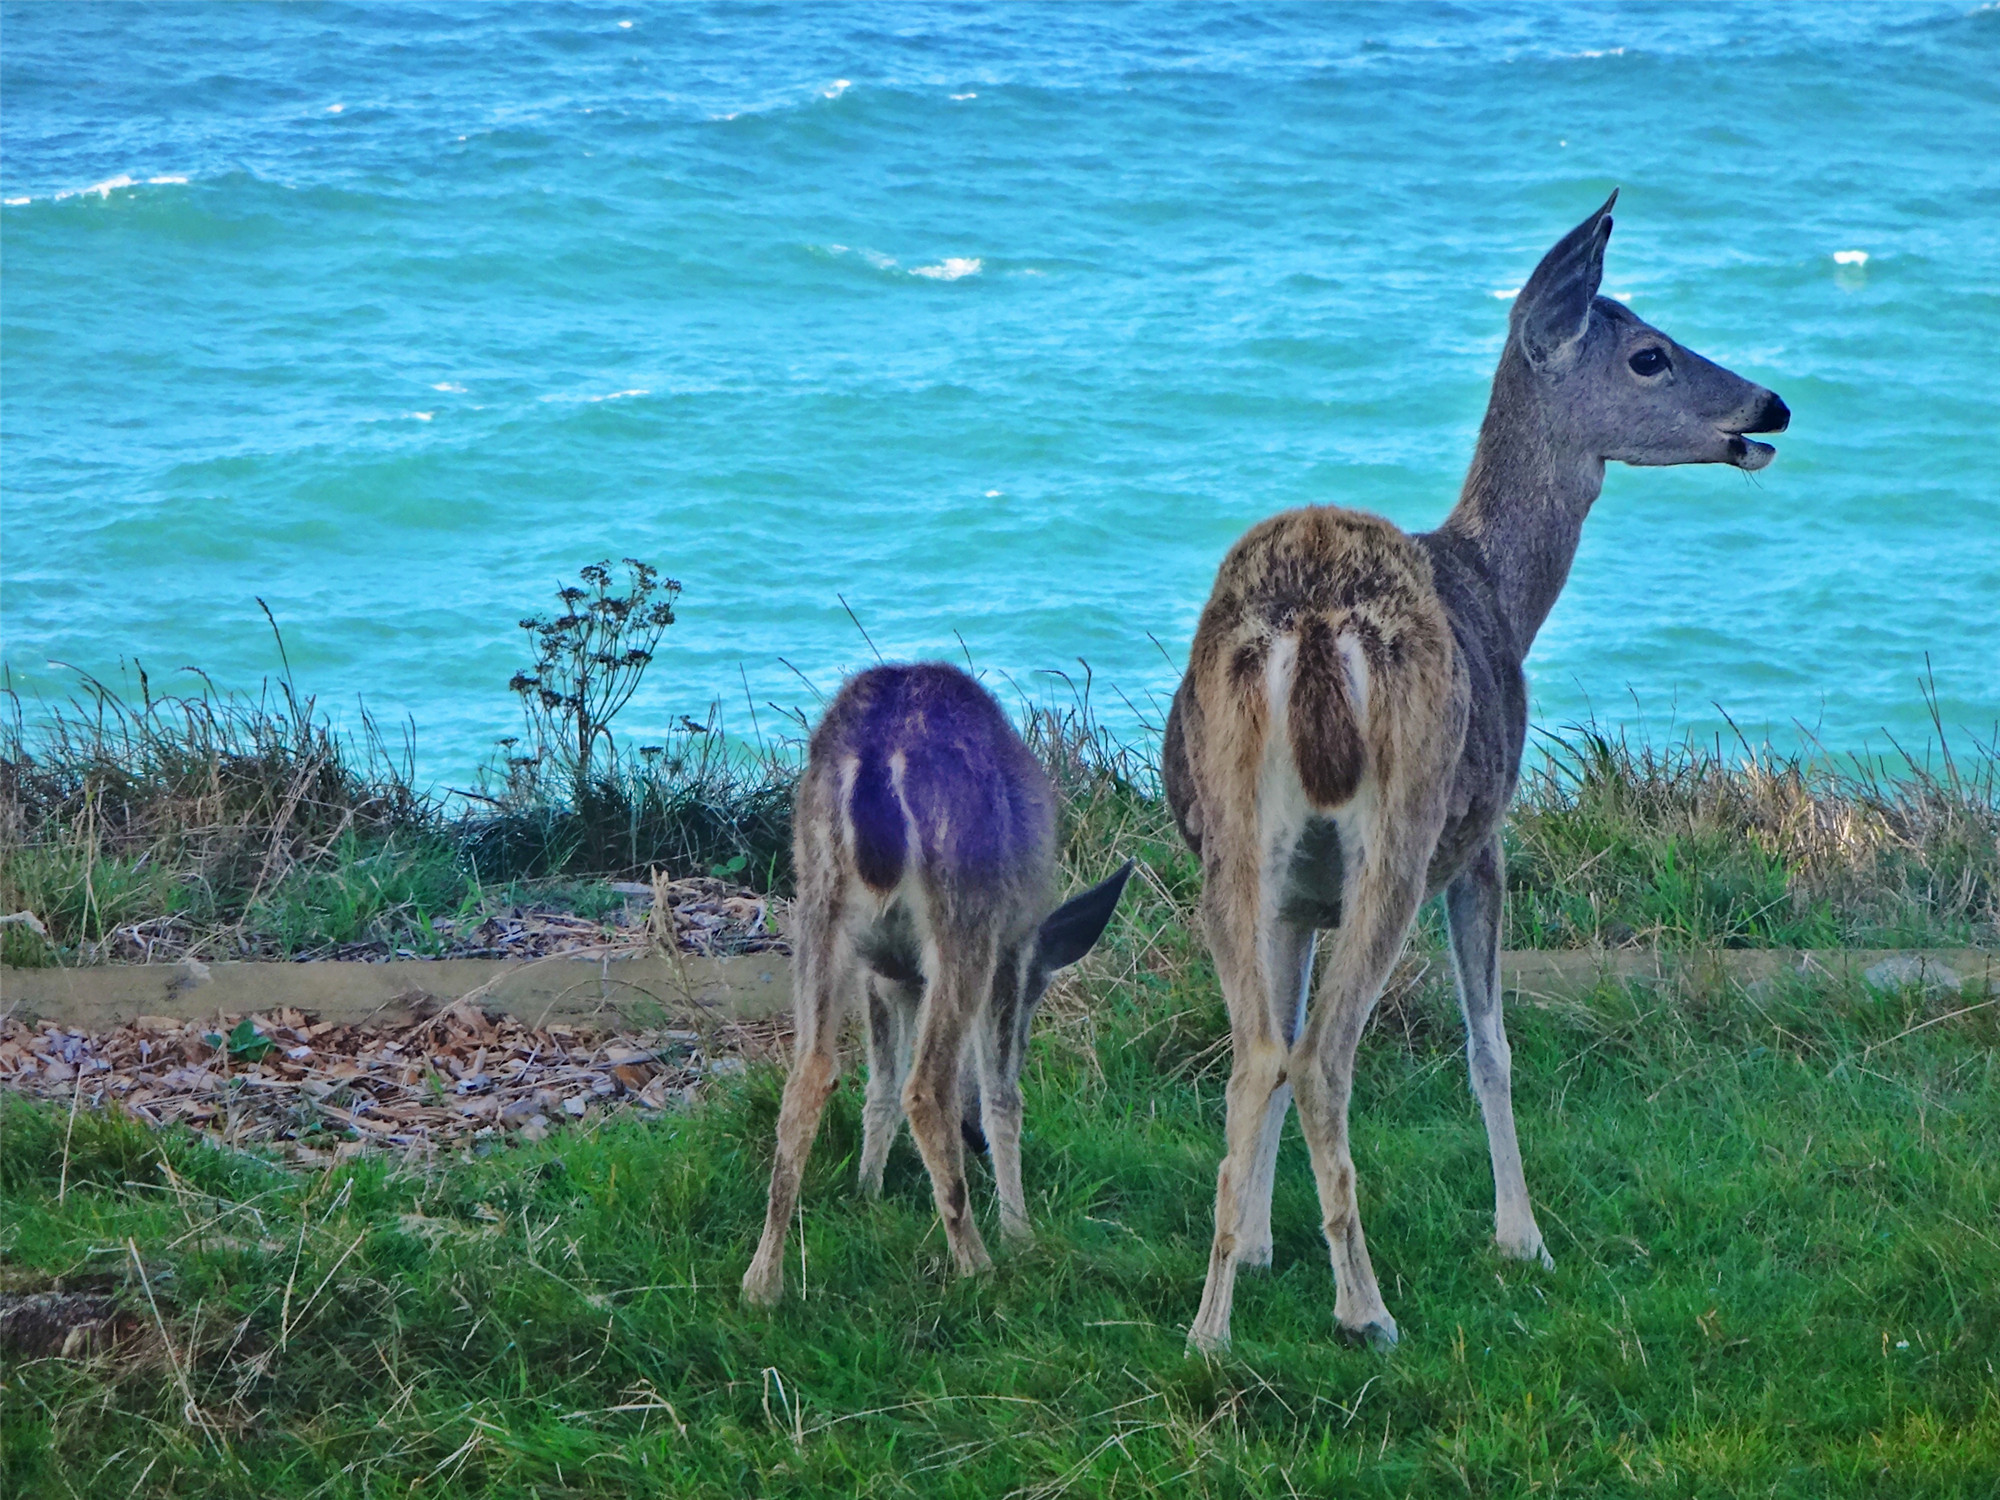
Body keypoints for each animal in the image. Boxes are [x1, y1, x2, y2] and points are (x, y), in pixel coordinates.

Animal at [744, 664, 1136, 1312]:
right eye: (1037, 1006)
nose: (970, 1139)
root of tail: (876, 755)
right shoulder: (1013, 950)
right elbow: (1003, 1094)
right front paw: (1020, 1231)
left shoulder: (886, 972)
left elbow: (877, 1088)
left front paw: (867, 1193)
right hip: (965, 906)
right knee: (927, 1087)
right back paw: (977, 1265)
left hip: (817, 903)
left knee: (809, 1076)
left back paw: (762, 1282)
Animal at [1168, 188, 1792, 1352]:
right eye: (1647, 354)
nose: (1767, 404)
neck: (1502, 588)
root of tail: (1311, 623)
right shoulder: (1488, 834)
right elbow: (1489, 1044)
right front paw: (1522, 1239)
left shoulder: (1296, 895)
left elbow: (1273, 1044)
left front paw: (1262, 1247)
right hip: (1406, 830)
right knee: (1326, 1054)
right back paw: (1366, 1311)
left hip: (1227, 845)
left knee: (1258, 1052)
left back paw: (1210, 1330)